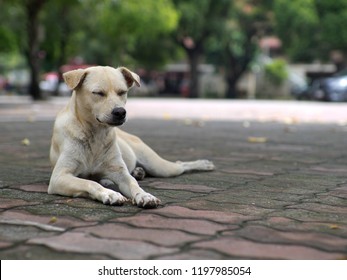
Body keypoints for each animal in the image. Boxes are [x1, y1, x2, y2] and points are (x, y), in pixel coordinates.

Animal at [47, 65, 213, 208]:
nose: (120, 112)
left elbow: (133, 184)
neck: (95, 134)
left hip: (160, 167)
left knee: (180, 165)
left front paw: (144, 195)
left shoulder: (121, 174)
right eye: (98, 93)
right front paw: (110, 194)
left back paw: (203, 164)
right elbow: (90, 183)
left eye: (122, 92)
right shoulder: (59, 177)